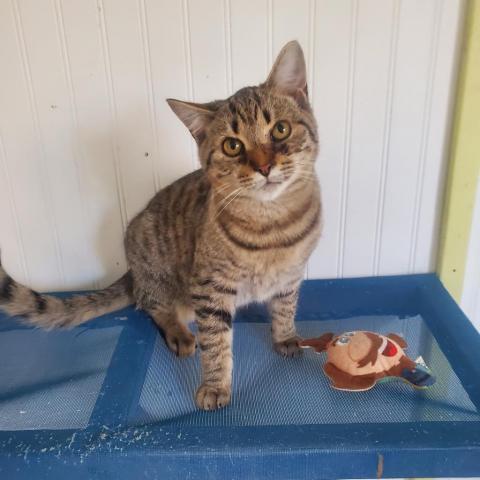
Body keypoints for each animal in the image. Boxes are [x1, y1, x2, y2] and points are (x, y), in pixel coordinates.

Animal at [1, 40, 322, 408]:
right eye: (232, 145)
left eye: (281, 129)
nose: (264, 167)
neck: (273, 224)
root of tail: (132, 271)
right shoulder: (209, 287)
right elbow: (216, 342)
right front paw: (215, 385)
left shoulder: (291, 277)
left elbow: (285, 308)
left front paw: (285, 336)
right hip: (162, 277)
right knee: (150, 304)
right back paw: (179, 332)